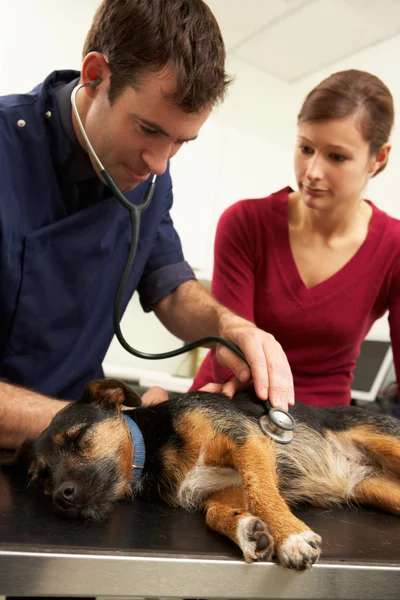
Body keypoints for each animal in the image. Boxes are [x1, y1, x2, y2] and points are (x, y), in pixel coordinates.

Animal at [3, 378, 400, 568]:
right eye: (43, 478)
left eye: (78, 437)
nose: (61, 495)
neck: (155, 446)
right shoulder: (222, 485)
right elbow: (216, 511)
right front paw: (248, 530)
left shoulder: (248, 443)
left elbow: (261, 491)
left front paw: (290, 537)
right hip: (381, 491)